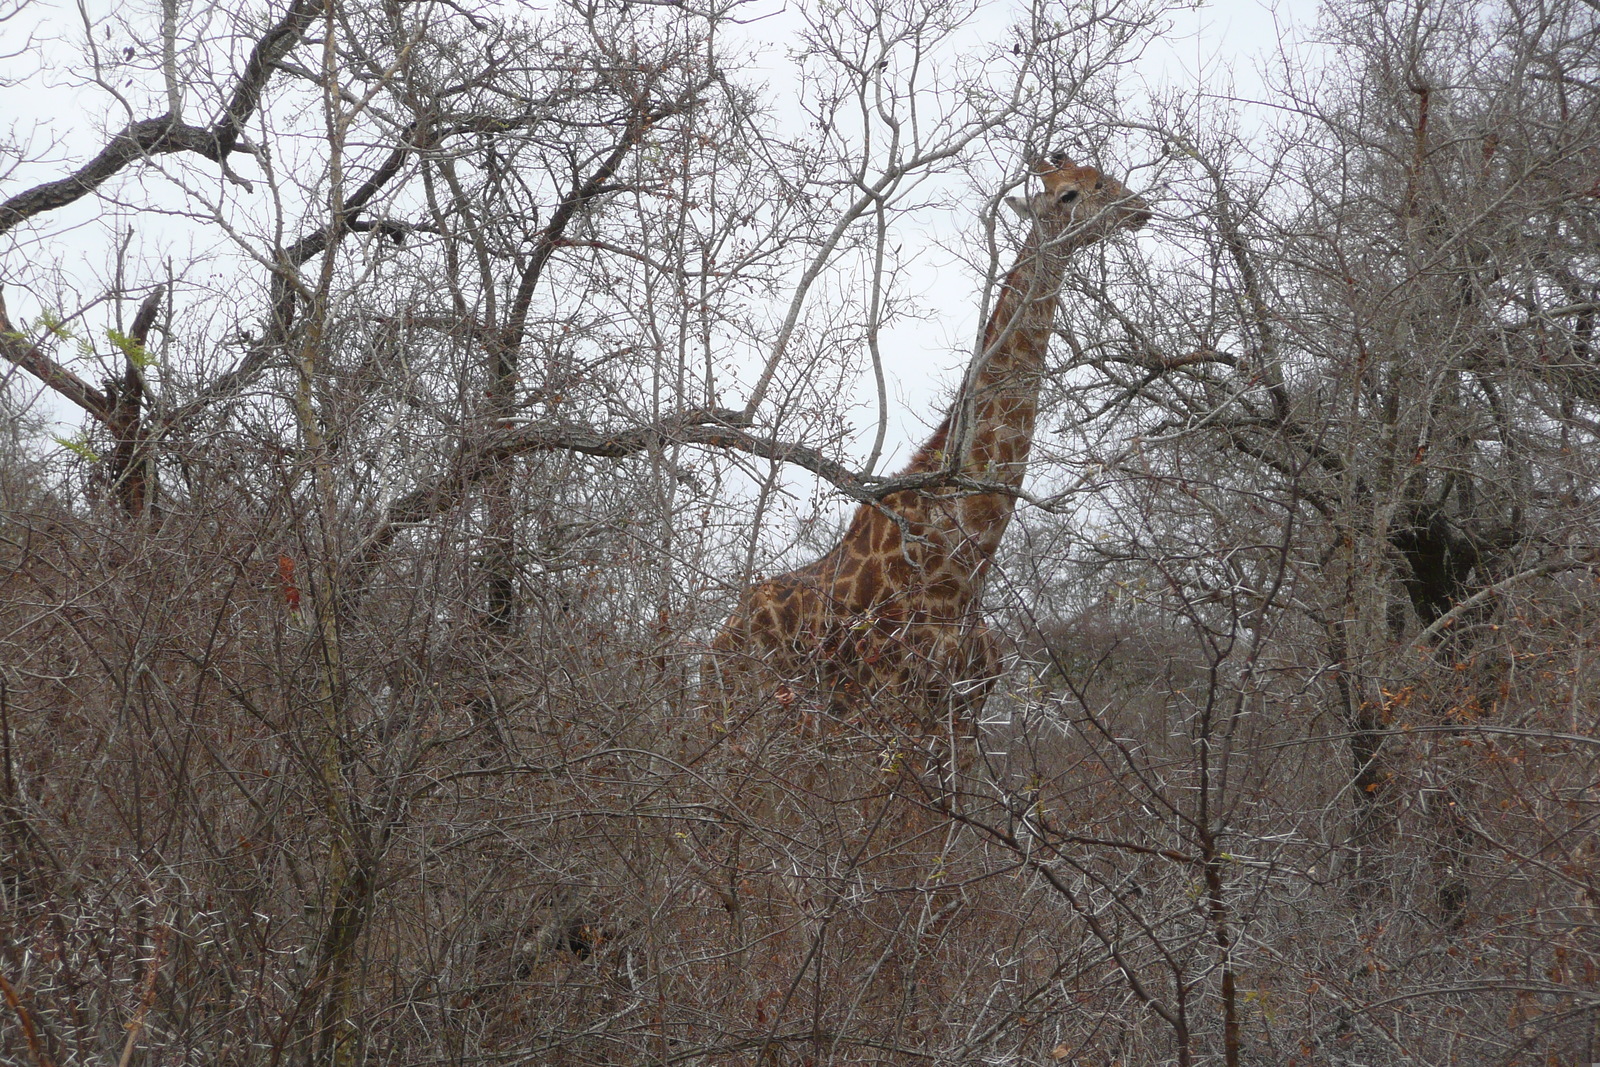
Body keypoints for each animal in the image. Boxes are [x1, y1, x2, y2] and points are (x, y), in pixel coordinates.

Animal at [704, 154, 1152, 755]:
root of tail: (714, 645)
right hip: (756, 723)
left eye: (1106, 177)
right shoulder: (898, 708)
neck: (964, 561)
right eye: (1070, 194)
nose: (1138, 209)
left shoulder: (962, 714)